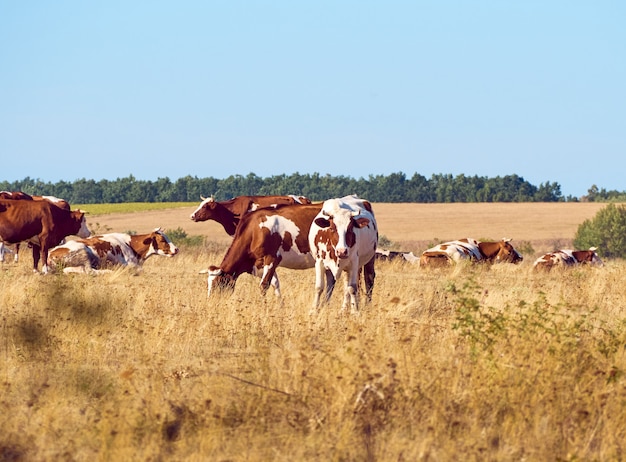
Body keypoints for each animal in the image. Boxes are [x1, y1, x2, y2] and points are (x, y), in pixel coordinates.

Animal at [48, 228, 178, 274]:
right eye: (162, 240)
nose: (176, 249)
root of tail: (50, 254)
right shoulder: (130, 264)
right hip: (83, 251)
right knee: (90, 271)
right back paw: (108, 271)